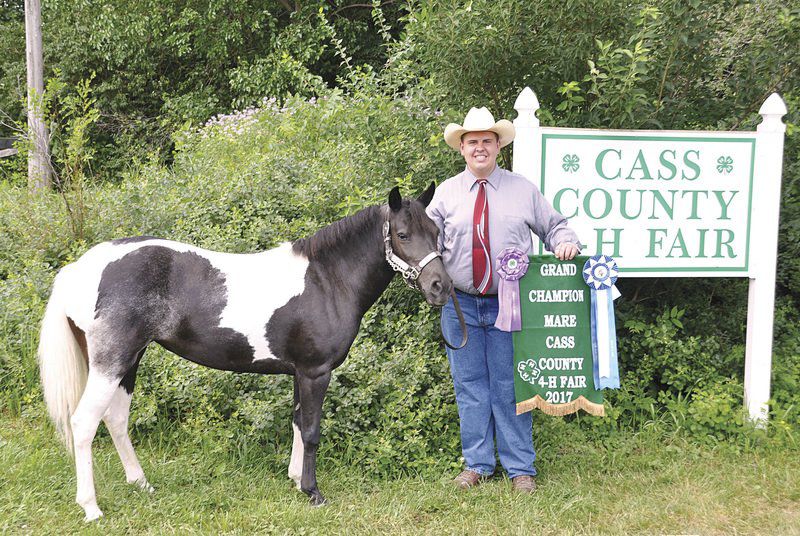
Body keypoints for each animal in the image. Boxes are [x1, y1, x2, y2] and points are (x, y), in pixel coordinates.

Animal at [39, 183, 450, 520]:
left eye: (436, 233)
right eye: (402, 234)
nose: (440, 287)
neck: (326, 280)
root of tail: (79, 268)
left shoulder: (299, 372)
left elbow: (297, 422)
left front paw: (295, 480)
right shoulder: (316, 371)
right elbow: (312, 430)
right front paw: (313, 492)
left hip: (129, 362)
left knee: (116, 419)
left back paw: (141, 484)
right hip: (112, 362)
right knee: (84, 423)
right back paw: (91, 507)